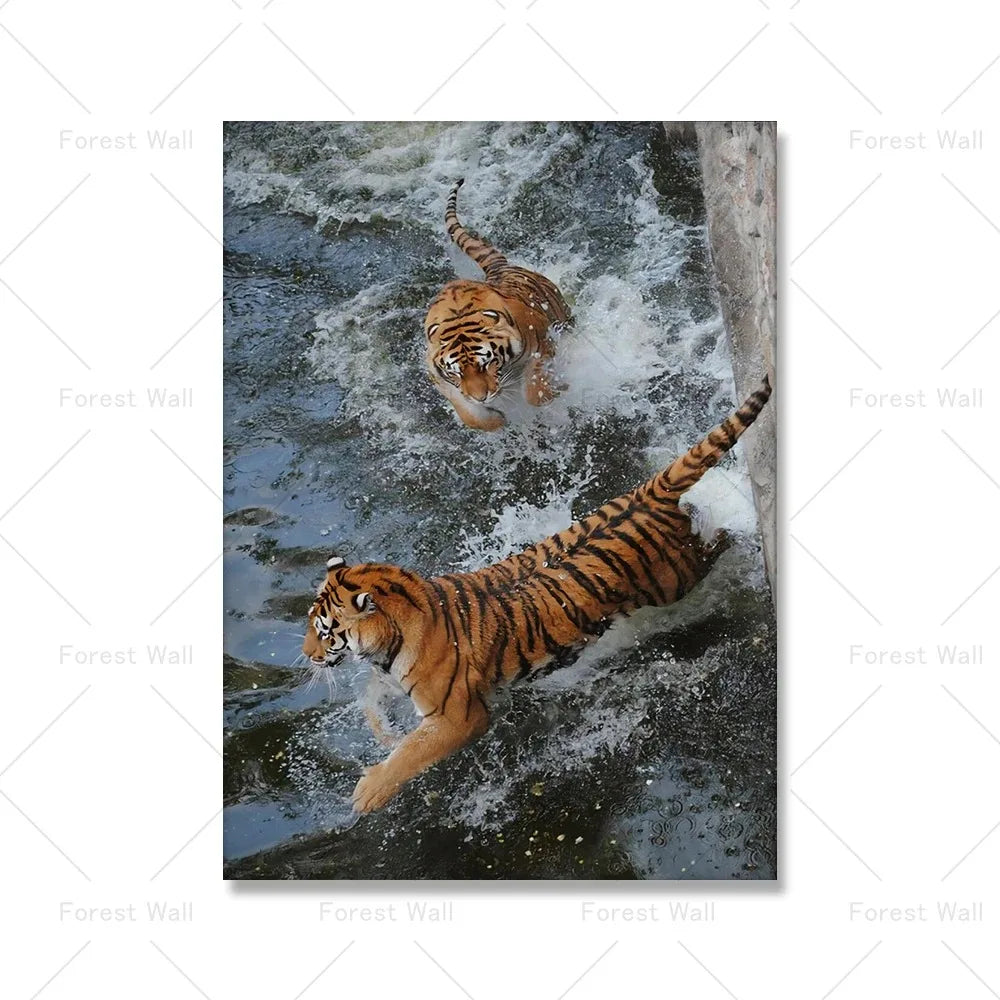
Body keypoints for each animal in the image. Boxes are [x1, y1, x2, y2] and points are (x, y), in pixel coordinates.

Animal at [302, 378, 771, 813]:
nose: (307, 656)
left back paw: (739, 530)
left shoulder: (457, 717)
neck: (390, 640)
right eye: (313, 625)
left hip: (679, 576)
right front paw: (385, 735)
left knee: (717, 539)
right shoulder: (389, 676)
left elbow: (413, 754)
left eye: (325, 631)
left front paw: (367, 792)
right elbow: (371, 701)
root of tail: (649, 492)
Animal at [424, 179, 571, 431]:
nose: (481, 398)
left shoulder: (543, 344)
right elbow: (470, 416)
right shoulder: (440, 379)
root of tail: (498, 269)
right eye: (456, 373)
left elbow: (535, 390)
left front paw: (557, 391)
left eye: (486, 364)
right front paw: (497, 420)